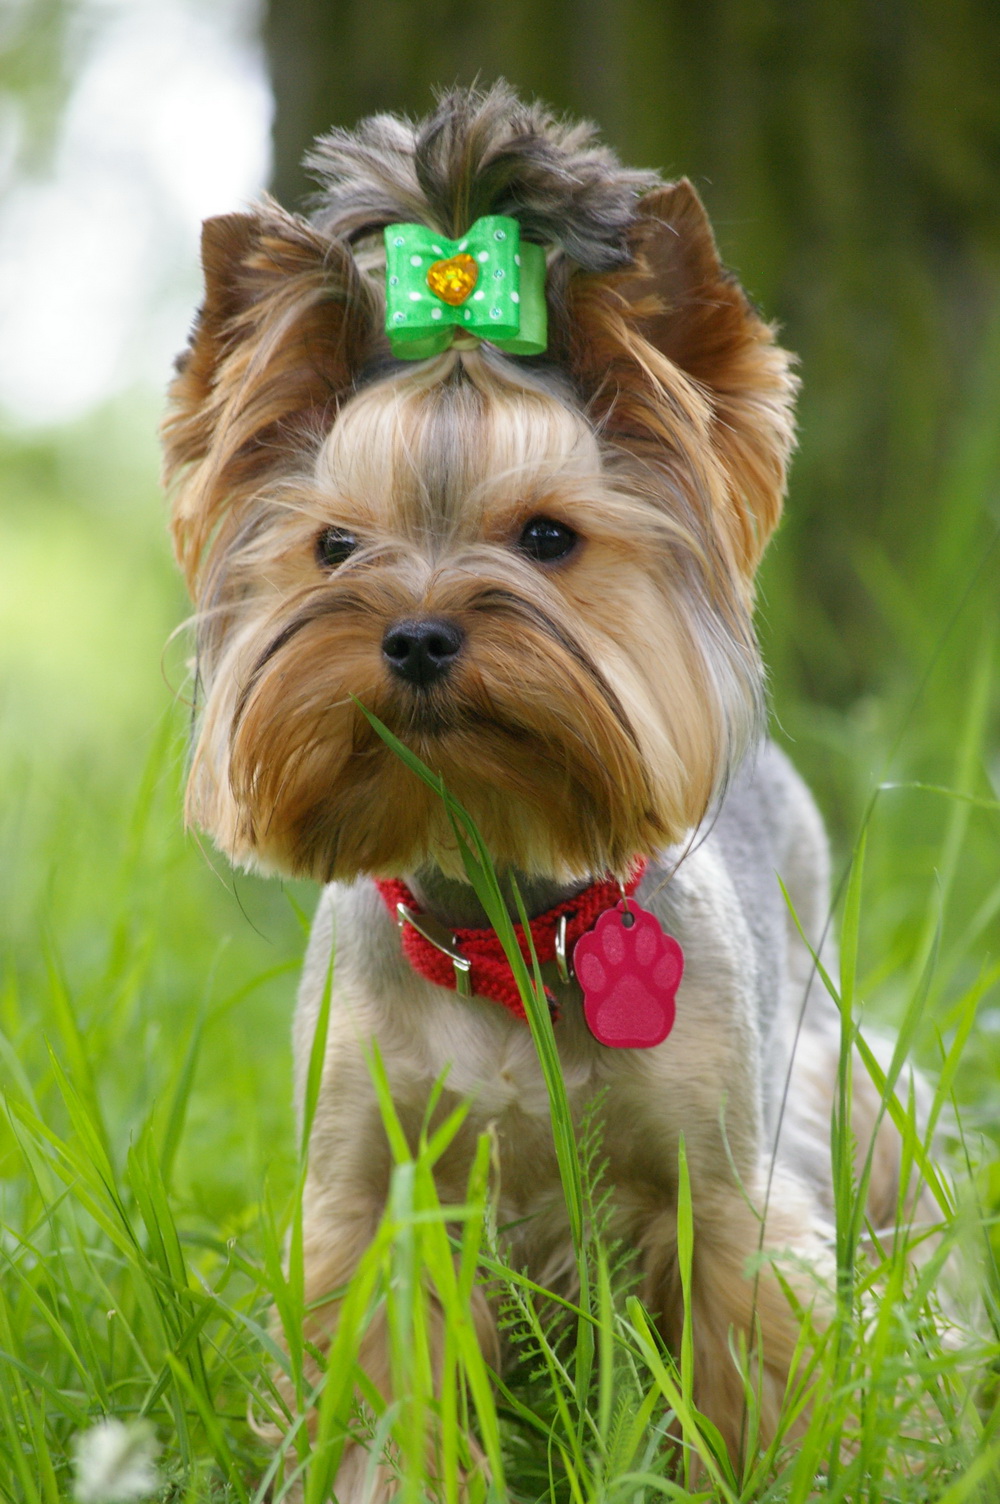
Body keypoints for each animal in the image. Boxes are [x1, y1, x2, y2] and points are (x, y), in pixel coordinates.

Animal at [163, 83, 919, 1494]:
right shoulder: (378, 1198)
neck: (503, 923)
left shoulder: (722, 1193)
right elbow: (391, 1398)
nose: (414, 634)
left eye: (548, 538)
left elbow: (744, 1367)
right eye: (333, 546)